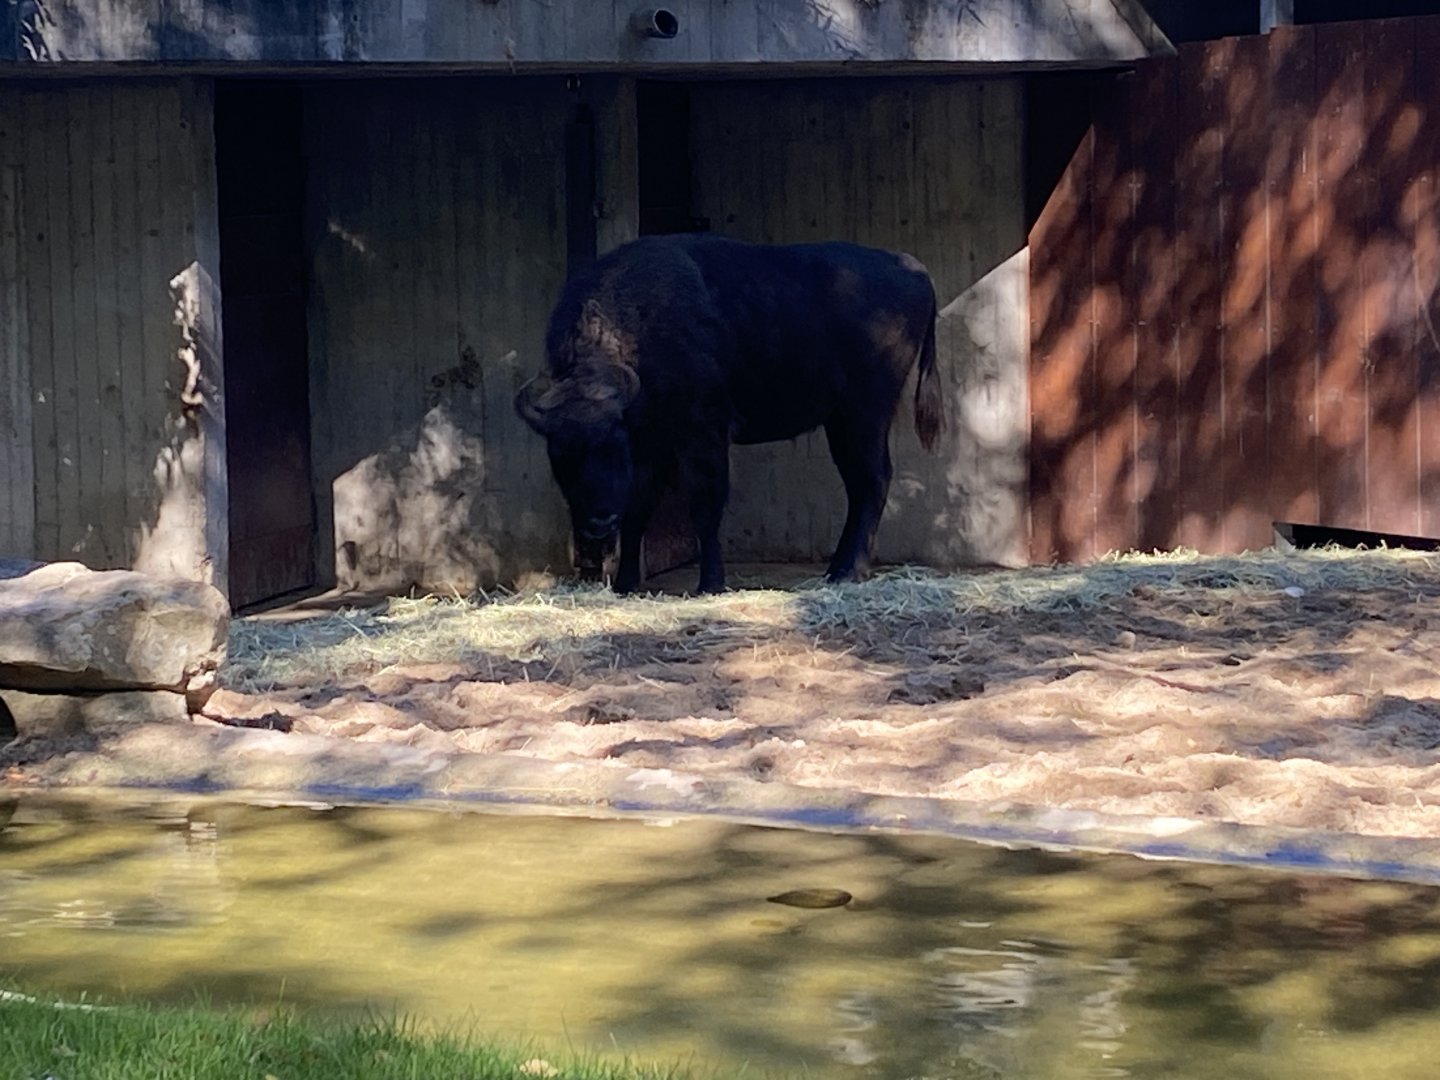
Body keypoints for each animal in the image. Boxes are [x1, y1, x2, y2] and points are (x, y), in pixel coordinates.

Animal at [515, 234, 944, 594]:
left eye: (613, 448)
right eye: (560, 455)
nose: (599, 521)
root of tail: (914, 268)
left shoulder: (702, 432)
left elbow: (705, 505)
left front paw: (710, 584)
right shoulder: (652, 444)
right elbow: (639, 506)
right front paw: (625, 585)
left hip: (865, 411)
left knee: (873, 479)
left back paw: (848, 572)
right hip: (840, 420)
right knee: (860, 483)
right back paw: (836, 570)